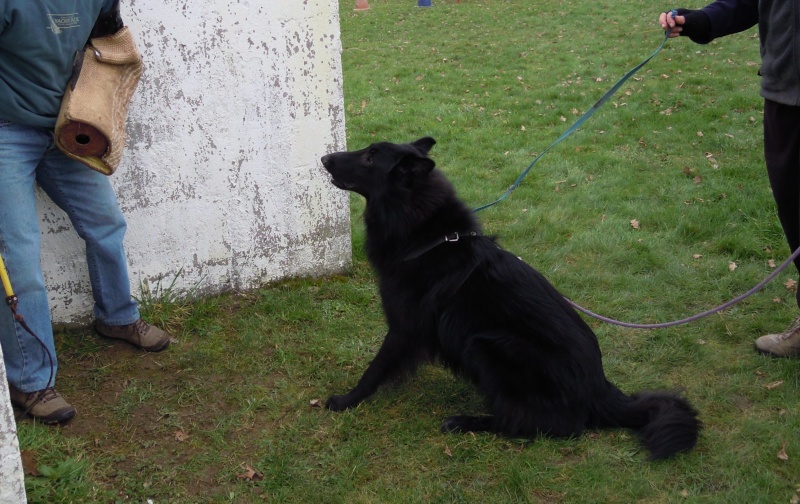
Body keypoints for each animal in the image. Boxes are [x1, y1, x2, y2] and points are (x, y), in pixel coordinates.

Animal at [320, 136, 700, 458]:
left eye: (370, 158)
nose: (323, 158)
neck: (427, 239)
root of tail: (600, 391)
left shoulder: (403, 328)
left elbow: (375, 369)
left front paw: (346, 401)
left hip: (488, 344)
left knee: (541, 424)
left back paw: (467, 422)